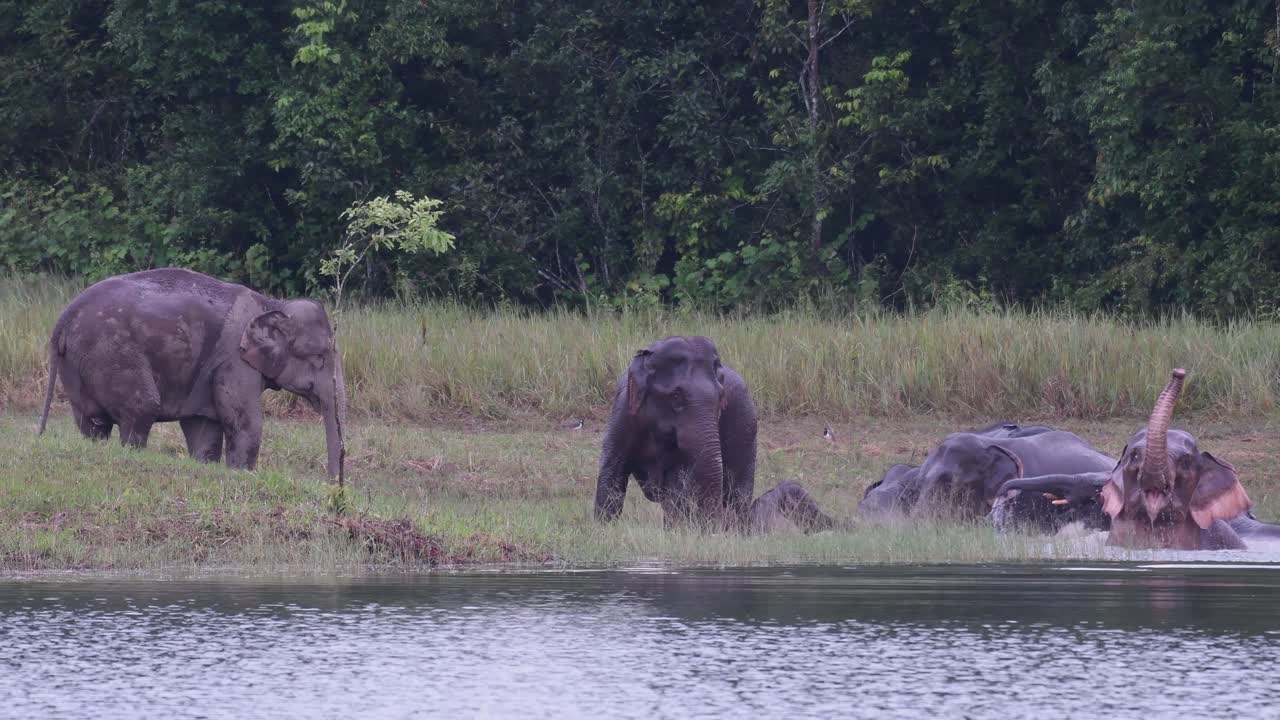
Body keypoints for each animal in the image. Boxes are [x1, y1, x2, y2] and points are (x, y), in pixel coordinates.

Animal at [37, 268, 348, 479]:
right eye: (319, 357)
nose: (333, 484)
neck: (273, 304)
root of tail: (64, 316)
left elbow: (204, 426)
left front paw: (207, 465)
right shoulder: (234, 361)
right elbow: (245, 421)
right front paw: (243, 475)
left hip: (77, 362)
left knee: (92, 421)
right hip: (111, 352)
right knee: (141, 409)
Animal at [593, 336, 757, 528]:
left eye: (721, 397)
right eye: (676, 396)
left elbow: (678, 483)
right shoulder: (623, 411)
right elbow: (612, 470)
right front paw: (603, 527)